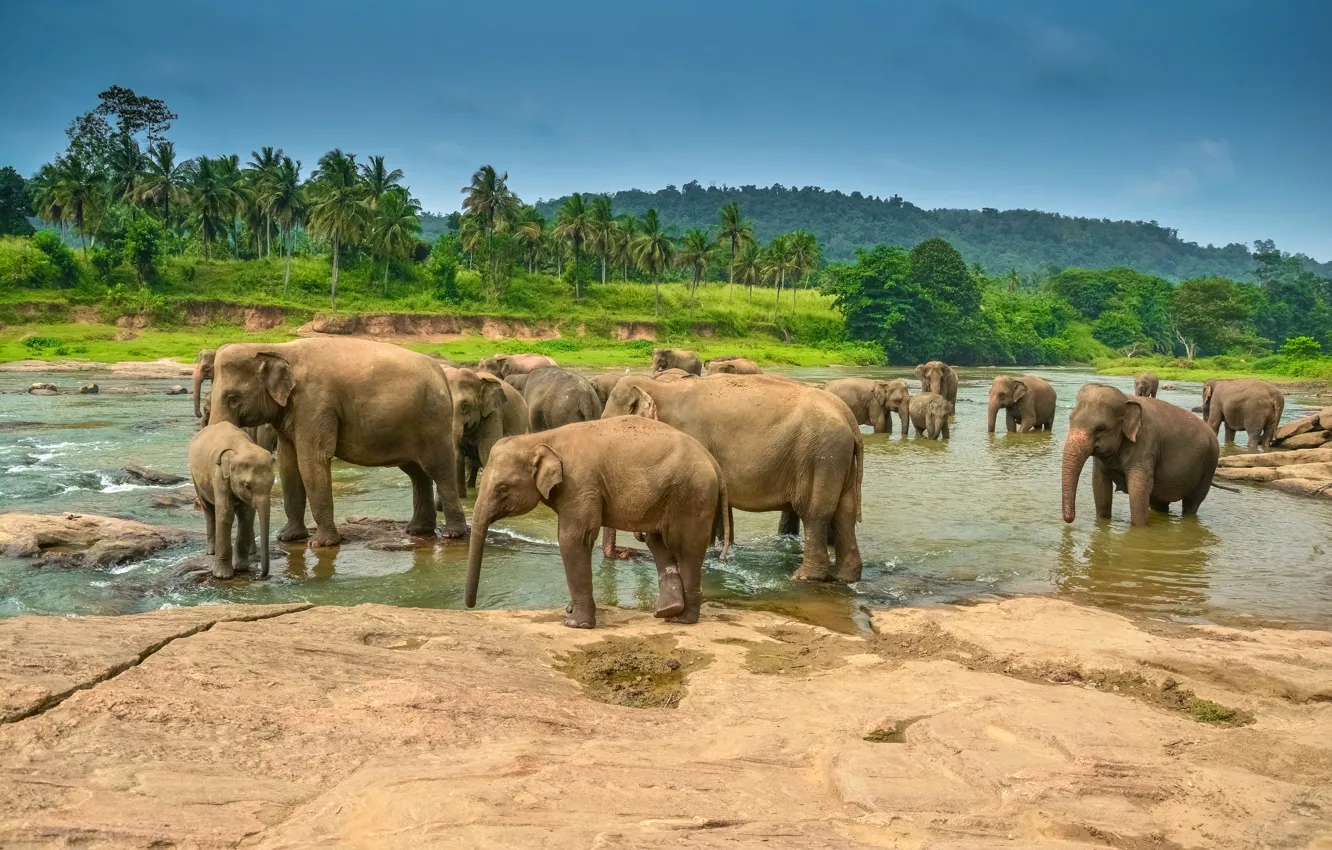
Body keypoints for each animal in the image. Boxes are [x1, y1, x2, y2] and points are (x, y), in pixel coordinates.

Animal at [189, 422, 274, 579]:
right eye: (247, 485)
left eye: (272, 482)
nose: (261, 575)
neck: (241, 447)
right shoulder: (218, 475)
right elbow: (225, 514)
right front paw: (222, 575)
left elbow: (247, 515)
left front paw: (241, 568)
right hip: (195, 476)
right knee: (208, 509)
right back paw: (211, 552)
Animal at [208, 338, 468, 548]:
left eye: (233, 398)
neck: (276, 348)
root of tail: (442, 373)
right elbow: (288, 464)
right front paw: (288, 537)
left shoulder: (315, 402)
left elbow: (312, 460)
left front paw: (320, 544)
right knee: (416, 472)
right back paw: (417, 530)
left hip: (433, 420)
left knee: (438, 469)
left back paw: (453, 534)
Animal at [465, 417, 731, 628]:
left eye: (502, 488)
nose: (470, 605)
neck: (541, 438)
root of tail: (714, 463)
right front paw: (571, 611)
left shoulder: (579, 484)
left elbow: (573, 539)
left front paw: (575, 624)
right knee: (658, 541)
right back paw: (668, 611)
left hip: (692, 495)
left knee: (685, 547)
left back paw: (682, 619)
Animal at [603, 374, 862, 582]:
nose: (625, 552)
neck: (660, 387)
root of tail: (849, 417)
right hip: (837, 458)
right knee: (845, 514)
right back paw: (845, 577)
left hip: (820, 455)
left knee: (815, 514)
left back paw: (803, 577)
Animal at [1062, 383, 1219, 527]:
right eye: (1070, 419)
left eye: (1100, 429)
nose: (1069, 519)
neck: (1126, 398)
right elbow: (1100, 485)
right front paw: (1102, 522)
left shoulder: (1146, 444)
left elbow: (1139, 489)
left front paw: (1139, 529)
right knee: (1160, 502)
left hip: (1209, 463)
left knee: (1192, 503)